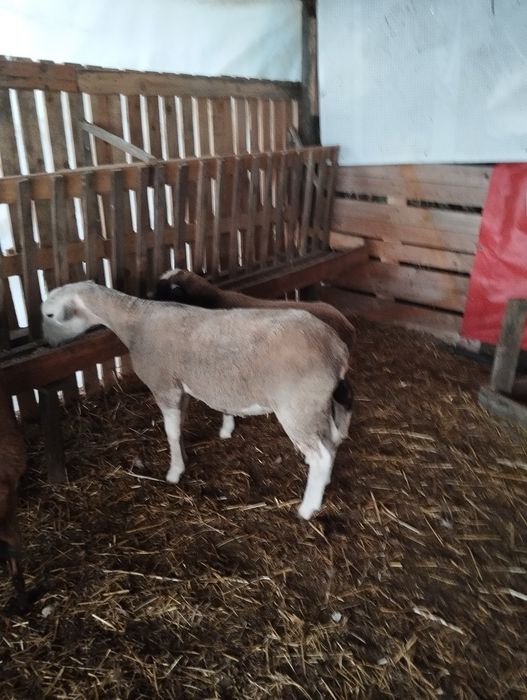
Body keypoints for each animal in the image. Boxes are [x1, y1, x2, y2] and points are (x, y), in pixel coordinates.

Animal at [154, 268, 355, 440]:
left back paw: (341, 432)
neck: (211, 301)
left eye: (164, 293)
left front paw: (226, 430)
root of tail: (347, 326)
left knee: (344, 397)